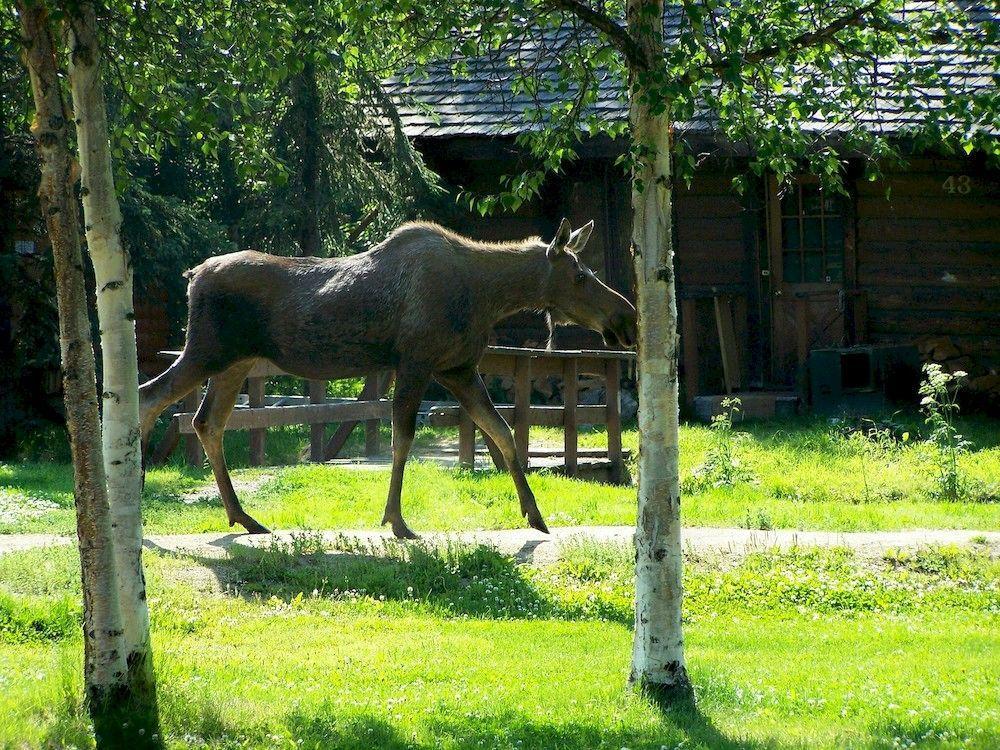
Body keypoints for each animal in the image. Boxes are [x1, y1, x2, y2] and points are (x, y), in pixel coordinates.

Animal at [141, 219, 636, 540]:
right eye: (579, 275)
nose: (626, 318)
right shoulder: (416, 362)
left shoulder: (458, 369)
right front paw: (396, 520)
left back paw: (242, 517)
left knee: (206, 422)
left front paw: (534, 515)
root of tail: (192, 275)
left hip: (234, 363)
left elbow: (504, 434)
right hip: (205, 351)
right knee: (150, 397)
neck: (488, 297)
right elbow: (403, 437)